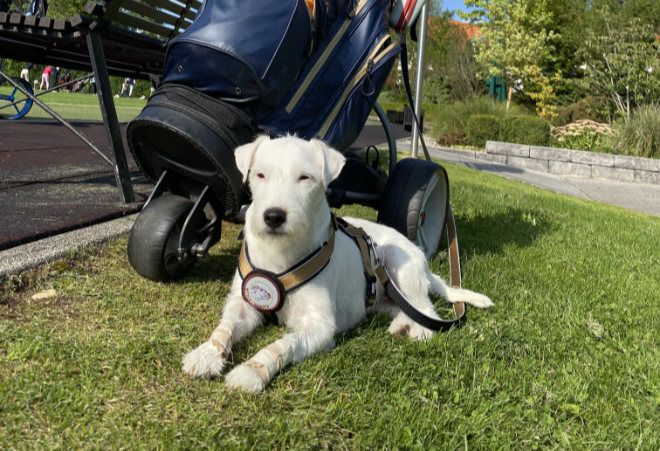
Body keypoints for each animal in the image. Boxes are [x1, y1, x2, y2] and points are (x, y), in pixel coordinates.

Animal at [180, 136, 490, 394]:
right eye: (260, 175)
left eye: (305, 178)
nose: (273, 216)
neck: (281, 254)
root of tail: (420, 257)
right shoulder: (244, 302)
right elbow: (227, 326)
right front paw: (206, 354)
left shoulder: (319, 327)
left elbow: (285, 343)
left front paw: (252, 371)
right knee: (401, 307)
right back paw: (402, 324)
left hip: (398, 263)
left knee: (427, 311)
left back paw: (419, 330)